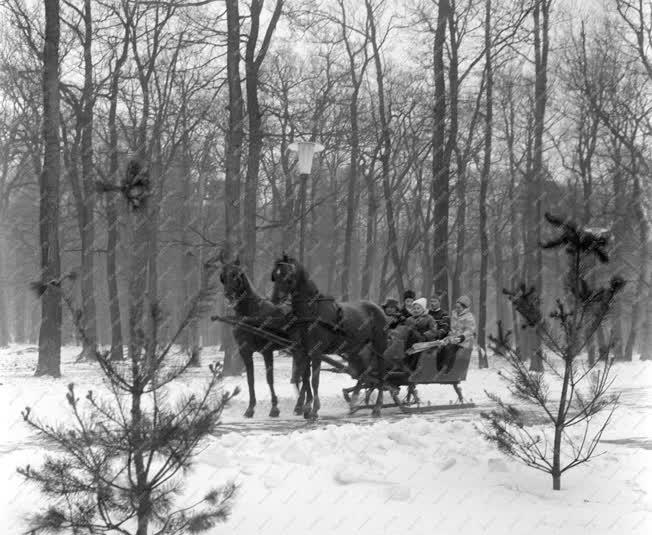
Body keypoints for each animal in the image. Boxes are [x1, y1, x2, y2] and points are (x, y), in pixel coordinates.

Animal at [219, 256, 292, 418]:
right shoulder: (245, 351)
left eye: (236, 275)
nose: (229, 295)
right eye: (223, 276)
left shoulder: (267, 351)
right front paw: (250, 408)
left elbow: (269, 379)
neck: (250, 315)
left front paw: (274, 408)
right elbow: (250, 380)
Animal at [270, 255, 388, 418]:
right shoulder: (303, 351)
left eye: (289, 278)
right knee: (364, 373)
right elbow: (306, 379)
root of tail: (378, 307)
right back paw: (353, 403)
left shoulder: (316, 352)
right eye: (275, 276)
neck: (311, 311)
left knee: (381, 373)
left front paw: (314, 410)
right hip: (356, 348)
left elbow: (314, 380)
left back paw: (377, 407)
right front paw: (307, 407)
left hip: (380, 345)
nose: (275, 299)